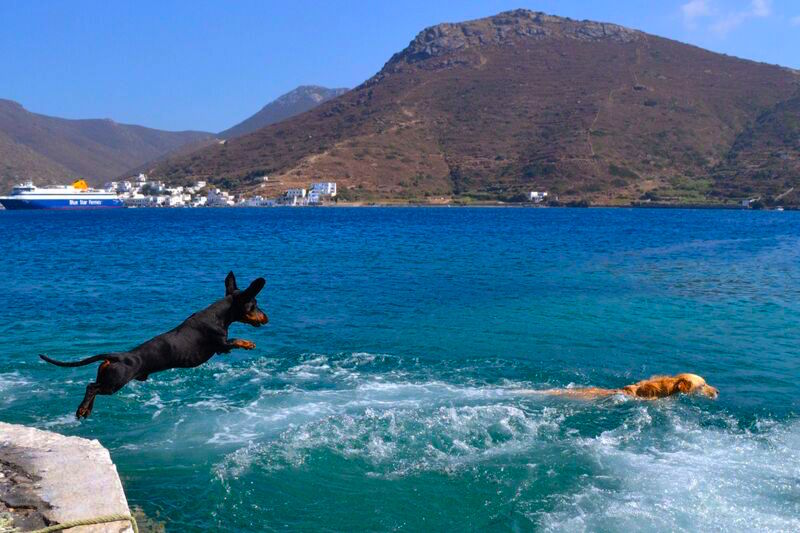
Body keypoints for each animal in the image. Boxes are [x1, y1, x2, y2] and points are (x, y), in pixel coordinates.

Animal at [39, 272, 268, 418]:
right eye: (254, 305)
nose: (267, 318)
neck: (219, 314)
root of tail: (118, 356)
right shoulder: (221, 344)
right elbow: (235, 341)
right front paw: (249, 344)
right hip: (115, 383)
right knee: (91, 387)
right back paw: (82, 409)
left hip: (108, 378)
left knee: (93, 386)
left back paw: (86, 410)